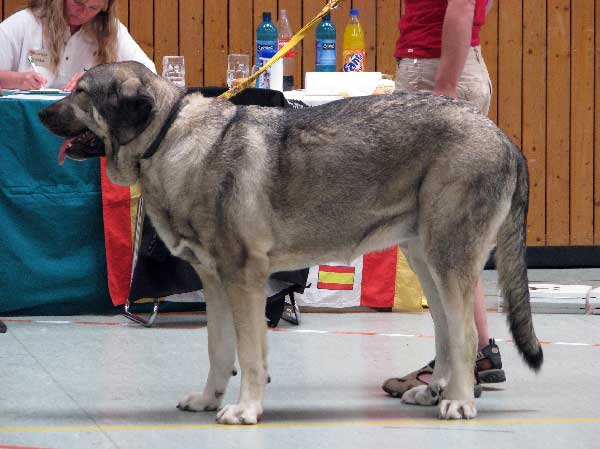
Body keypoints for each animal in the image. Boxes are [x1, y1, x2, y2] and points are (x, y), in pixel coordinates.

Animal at [39, 60, 540, 424]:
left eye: (81, 92)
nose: (42, 112)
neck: (169, 141)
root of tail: (501, 136)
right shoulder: (215, 284)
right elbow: (220, 350)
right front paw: (209, 399)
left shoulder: (243, 279)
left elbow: (248, 353)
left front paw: (245, 408)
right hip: (425, 261)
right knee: (444, 332)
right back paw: (433, 390)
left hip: (448, 260)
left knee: (465, 332)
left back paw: (459, 401)